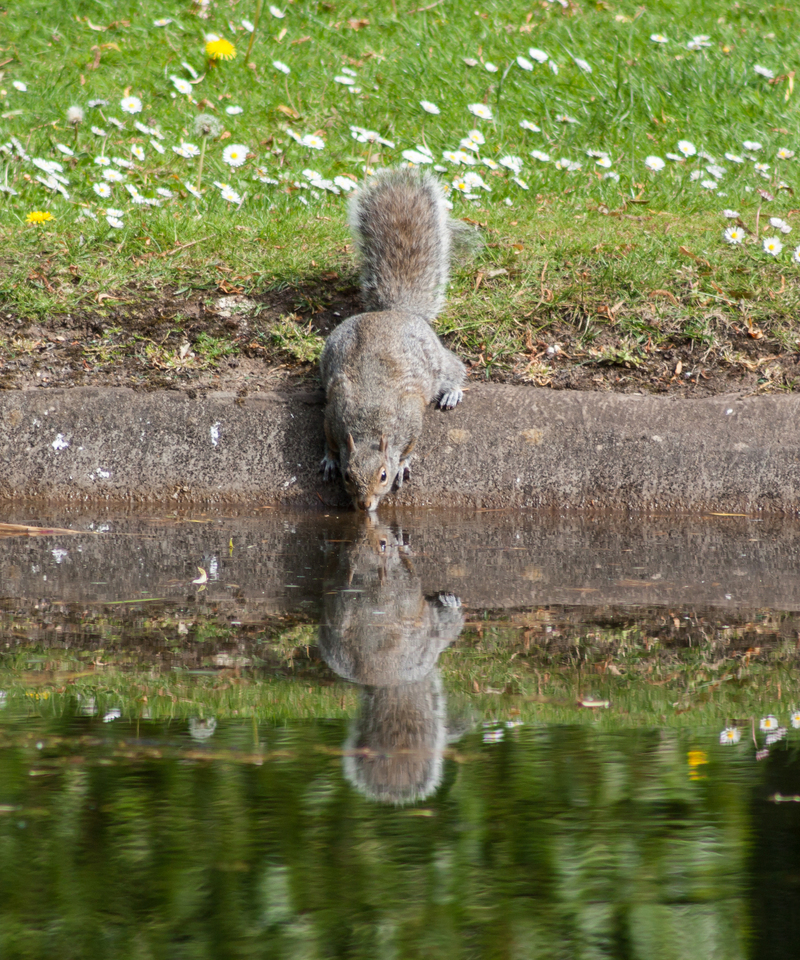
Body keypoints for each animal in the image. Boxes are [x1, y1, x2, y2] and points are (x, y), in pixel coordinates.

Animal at [318, 167, 476, 510]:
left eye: (383, 476)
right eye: (348, 477)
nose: (364, 506)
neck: (370, 424)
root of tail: (395, 311)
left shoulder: (411, 418)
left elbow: (409, 447)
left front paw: (403, 464)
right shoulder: (334, 414)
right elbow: (330, 441)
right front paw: (330, 460)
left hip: (437, 360)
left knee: (455, 368)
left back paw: (452, 392)